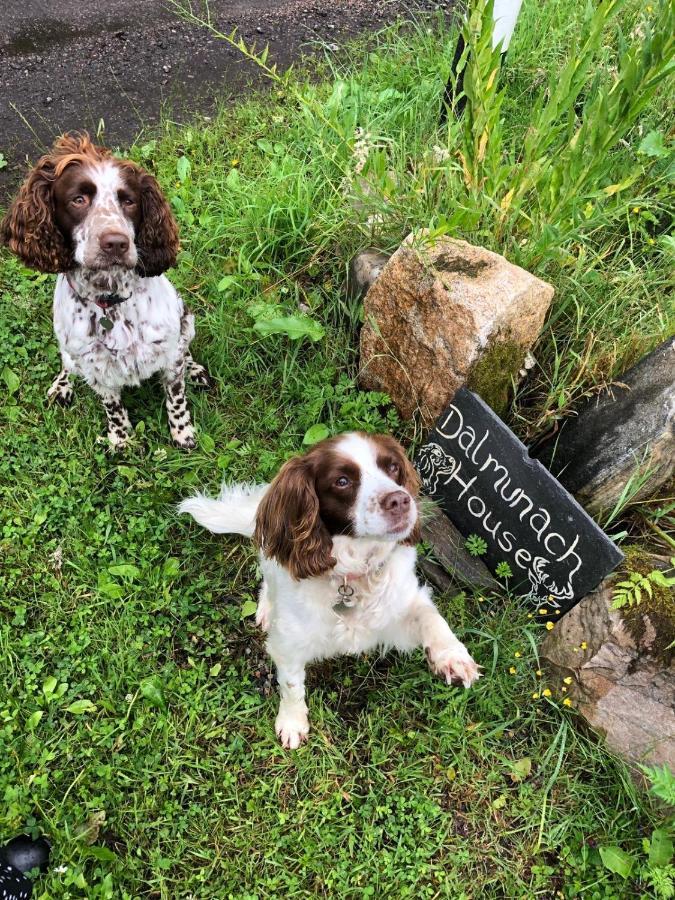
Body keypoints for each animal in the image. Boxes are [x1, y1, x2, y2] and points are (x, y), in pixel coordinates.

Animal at [0, 133, 210, 450]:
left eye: (129, 201)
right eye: (78, 199)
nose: (116, 243)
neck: (110, 300)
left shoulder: (169, 351)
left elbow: (176, 399)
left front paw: (182, 434)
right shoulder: (96, 368)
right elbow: (112, 407)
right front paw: (121, 439)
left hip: (187, 320)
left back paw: (195, 369)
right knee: (67, 365)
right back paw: (62, 386)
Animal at [180, 432, 480, 748]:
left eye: (393, 467)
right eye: (342, 481)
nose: (400, 500)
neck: (352, 577)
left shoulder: (398, 610)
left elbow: (430, 617)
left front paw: (453, 657)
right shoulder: (289, 642)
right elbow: (291, 684)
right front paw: (292, 723)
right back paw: (266, 609)